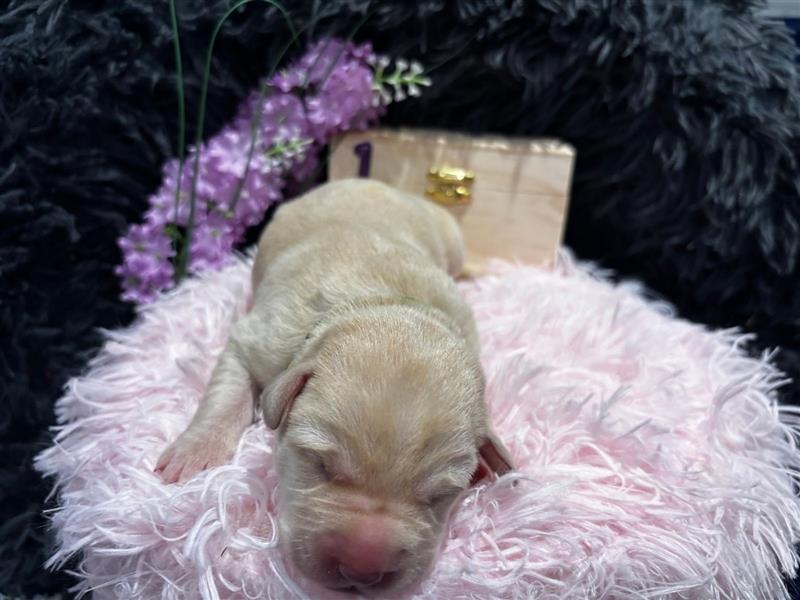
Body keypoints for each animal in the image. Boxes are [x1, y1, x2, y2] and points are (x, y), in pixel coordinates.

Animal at [156, 178, 512, 596]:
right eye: (319, 463)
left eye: (441, 495)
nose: (361, 571)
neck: (380, 301)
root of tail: (364, 180)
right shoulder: (255, 339)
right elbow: (226, 394)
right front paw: (194, 452)